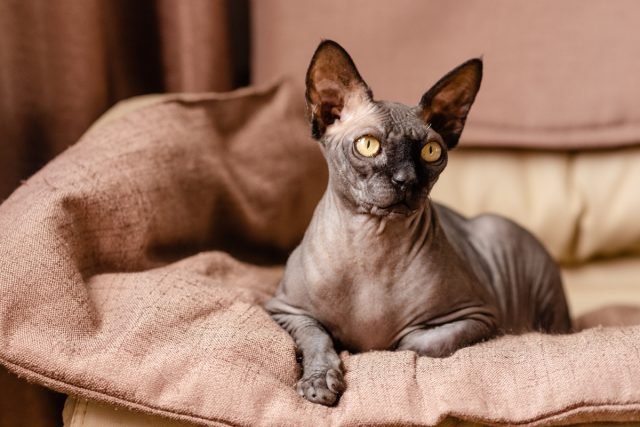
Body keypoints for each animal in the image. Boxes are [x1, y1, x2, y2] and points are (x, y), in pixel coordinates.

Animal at [264, 41, 568, 408]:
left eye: (431, 151)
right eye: (368, 145)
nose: (406, 180)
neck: (371, 246)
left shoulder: (479, 317)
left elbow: (415, 342)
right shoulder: (284, 310)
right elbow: (316, 336)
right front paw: (320, 379)